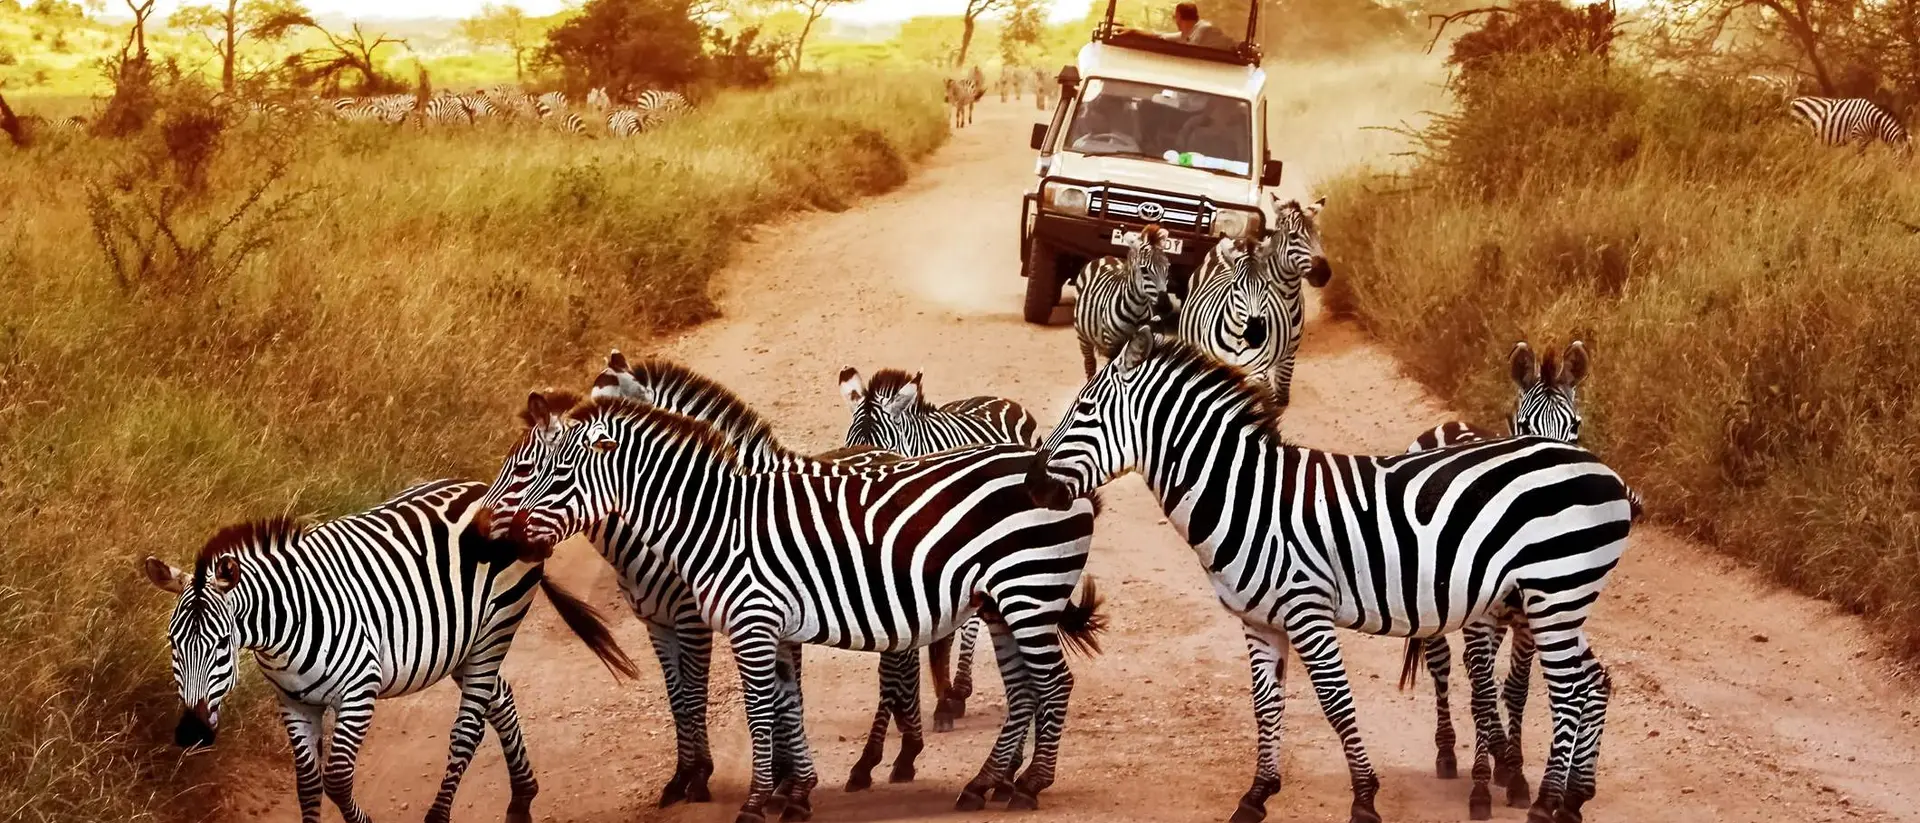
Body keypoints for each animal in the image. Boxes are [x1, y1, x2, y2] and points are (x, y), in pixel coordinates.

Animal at [141, 479, 637, 823]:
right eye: (173, 645)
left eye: (221, 645)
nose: (190, 733)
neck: (283, 628)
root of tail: (484, 489)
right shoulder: (294, 702)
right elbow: (308, 783)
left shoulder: (358, 693)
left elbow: (337, 780)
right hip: (464, 644)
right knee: (501, 699)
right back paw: (521, 798)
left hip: (494, 631)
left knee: (468, 729)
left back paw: (443, 815)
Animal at [1035, 327, 1634, 823]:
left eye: (1084, 410)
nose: (1037, 483)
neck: (1247, 498)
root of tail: (1601, 470)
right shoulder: (1258, 621)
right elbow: (1265, 706)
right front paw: (1256, 797)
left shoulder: (1308, 612)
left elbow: (1336, 705)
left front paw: (1364, 800)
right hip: (1558, 601)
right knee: (1595, 681)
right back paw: (1574, 800)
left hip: (1553, 595)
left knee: (1570, 691)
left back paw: (1547, 805)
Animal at [1074, 223, 1171, 378]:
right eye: (1144, 270)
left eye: (1167, 268)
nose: (1165, 306)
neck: (1137, 310)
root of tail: (1104, 257)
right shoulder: (1112, 343)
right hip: (1083, 335)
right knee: (1089, 364)